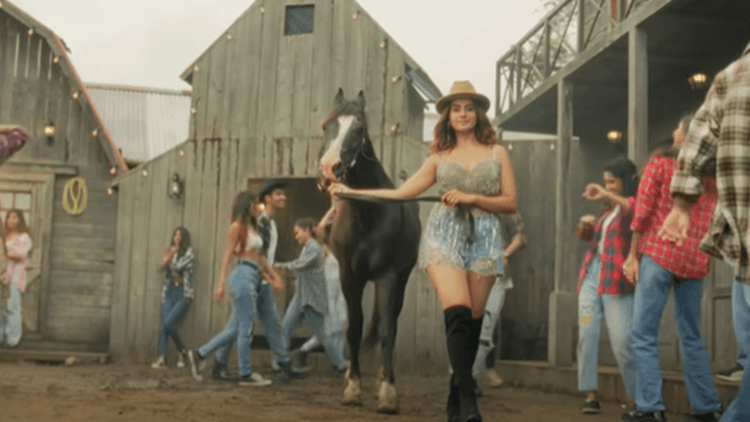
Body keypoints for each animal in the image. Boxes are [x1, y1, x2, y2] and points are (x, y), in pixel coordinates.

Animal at [317, 89, 421, 414]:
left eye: (359, 128)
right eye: (326, 125)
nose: (328, 168)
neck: (368, 214)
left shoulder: (388, 276)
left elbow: (386, 330)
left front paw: (387, 393)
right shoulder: (349, 276)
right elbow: (353, 327)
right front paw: (352, 388)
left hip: (401, 280)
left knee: (392, 323)